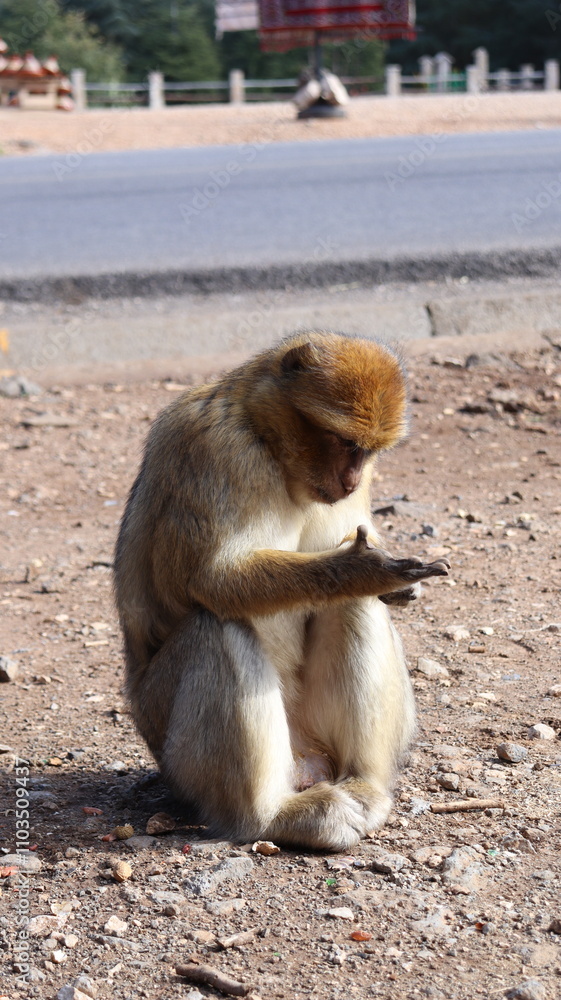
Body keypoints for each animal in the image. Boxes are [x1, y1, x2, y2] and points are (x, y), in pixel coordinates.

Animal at [114, 332, 449, 850]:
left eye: (368, 451)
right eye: (344, 442)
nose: (352, 479)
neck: (266, 438)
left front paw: (394, 585)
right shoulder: (220, 451)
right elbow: (213, 580)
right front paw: (362, 569)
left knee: (351, 610)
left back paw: (363, 784)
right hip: (172, 748)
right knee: (218, 628)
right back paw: (271, 818)